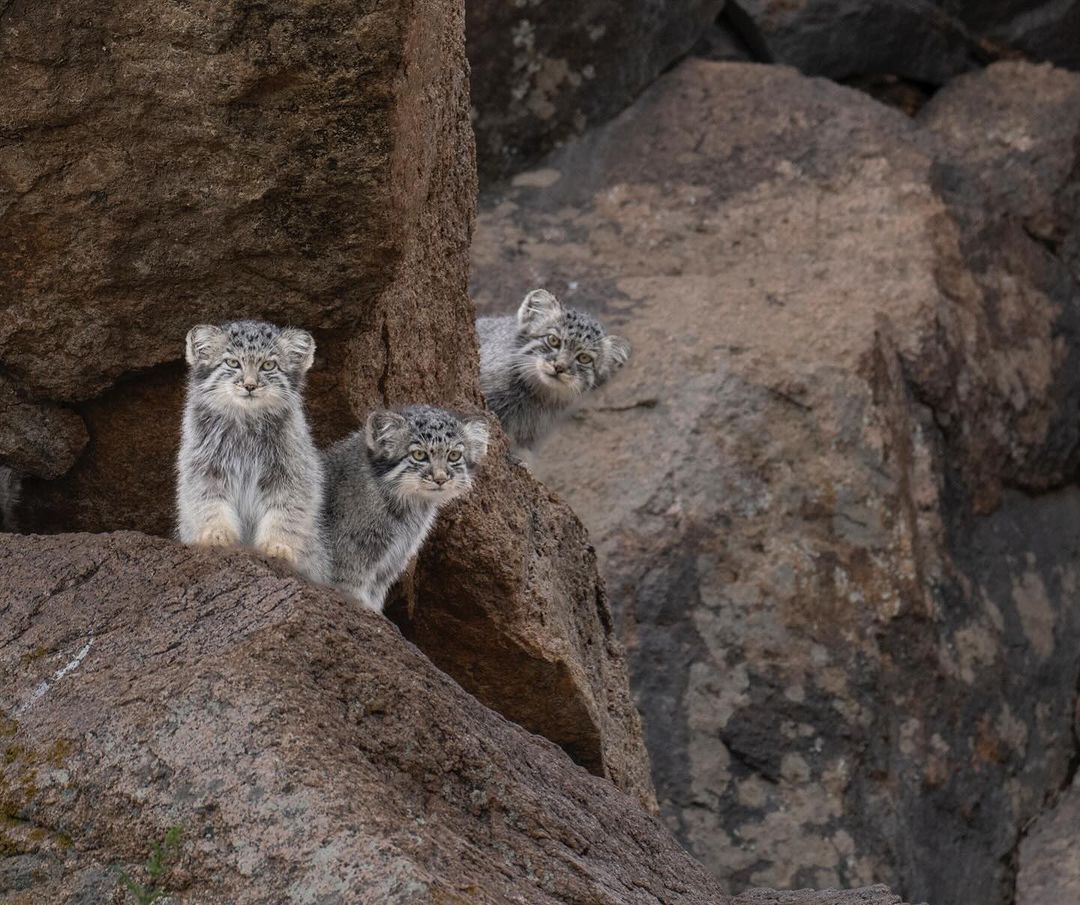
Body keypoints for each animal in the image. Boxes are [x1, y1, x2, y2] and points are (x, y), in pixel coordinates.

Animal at [174, 321, 326, 583]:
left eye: (268, 365)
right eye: (233, 363)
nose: (250, 385)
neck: (245, 424)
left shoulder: (292, 472)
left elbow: (285, 514)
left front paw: (278, 546)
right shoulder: (203, 469)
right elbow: (209, 504)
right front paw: (216, 534)